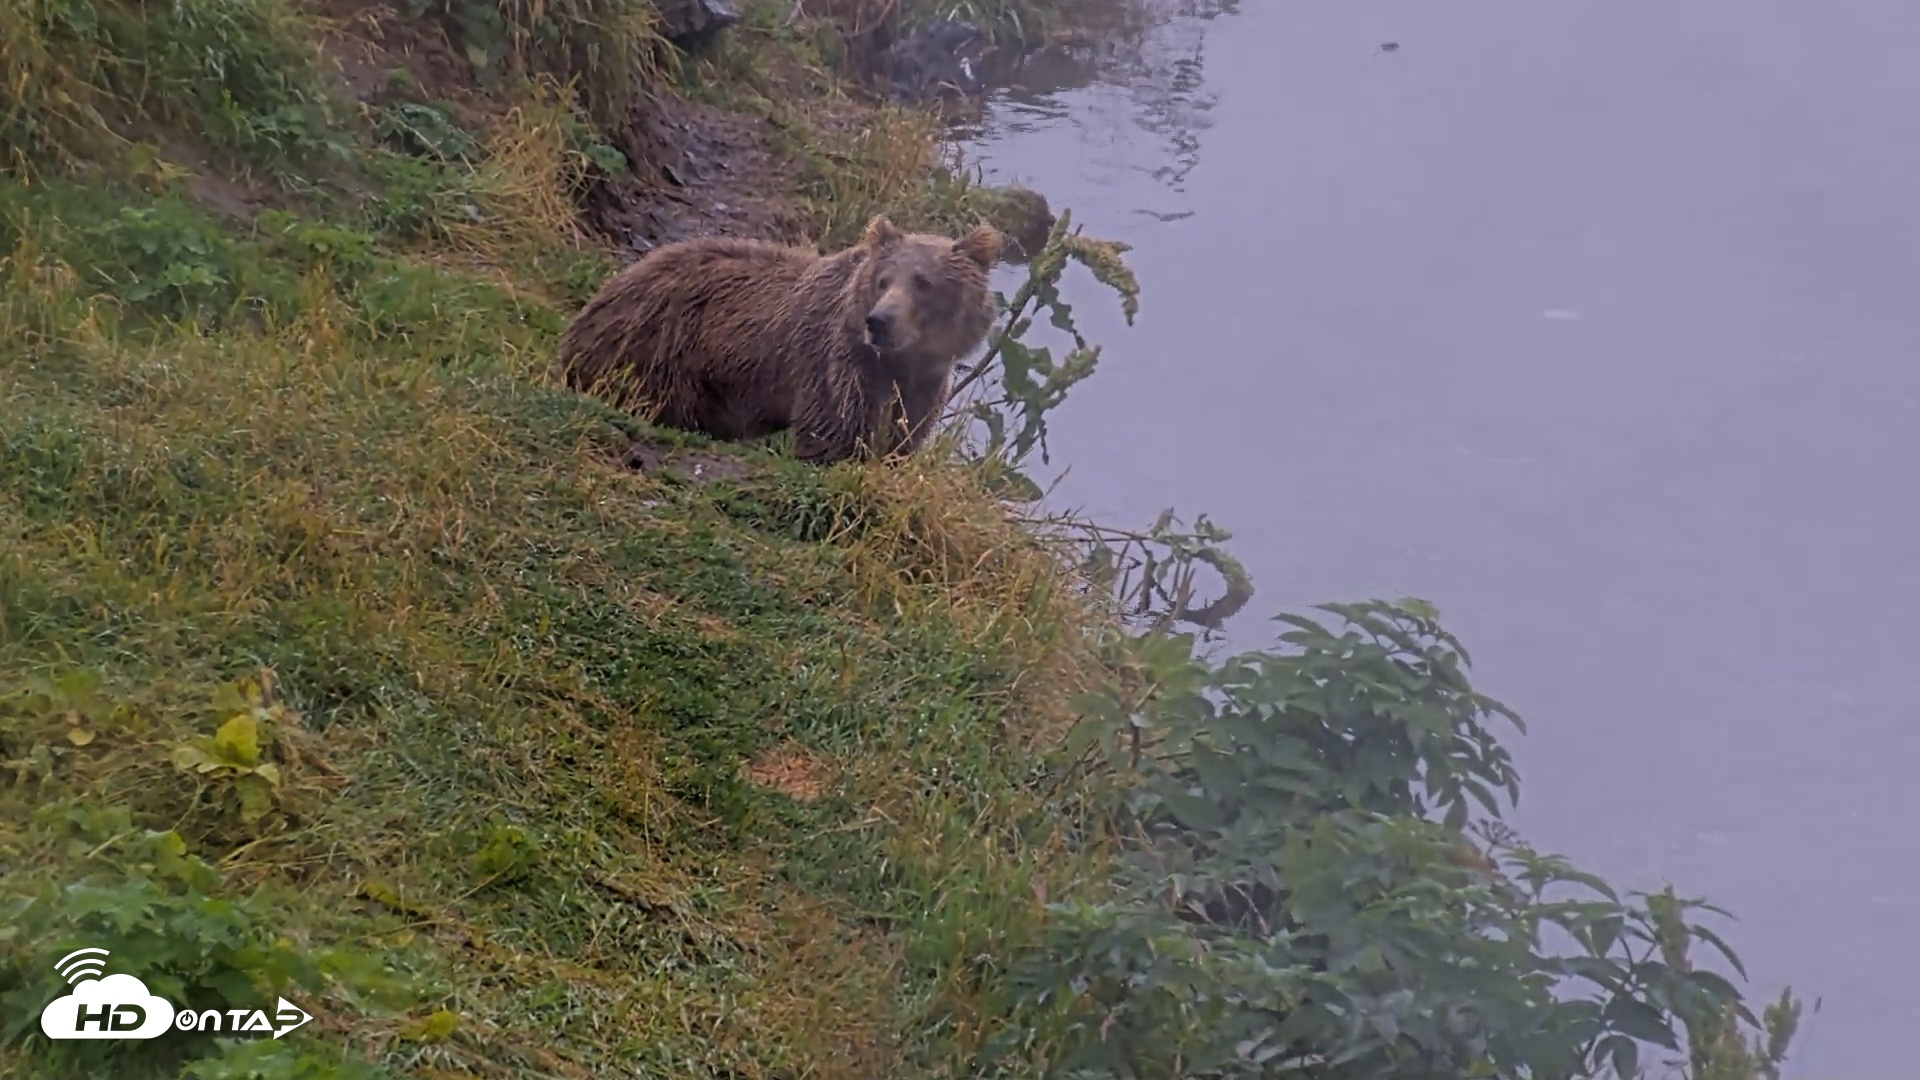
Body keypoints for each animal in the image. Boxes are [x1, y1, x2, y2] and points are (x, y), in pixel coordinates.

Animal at [558, 215, 1004, 465]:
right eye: (883, 280)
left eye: (923, 283)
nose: (879, 322)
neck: (898, 363)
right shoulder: (837, 368)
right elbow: (832, 435)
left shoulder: (920, 387)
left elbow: (900, 438)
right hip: (657, 353)